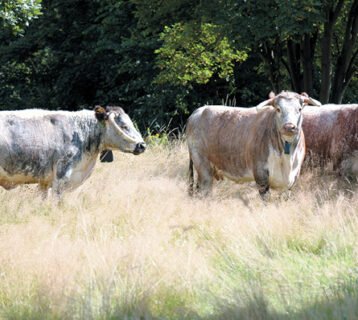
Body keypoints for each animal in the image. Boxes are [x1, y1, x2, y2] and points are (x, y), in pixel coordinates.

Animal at [186, 91, 320, 199]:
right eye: (278, 109)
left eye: (299, 109)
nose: (289, 127)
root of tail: (198, 111)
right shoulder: (261, 177)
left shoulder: (292, 180)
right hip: (203, 168)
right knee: (203, 191)